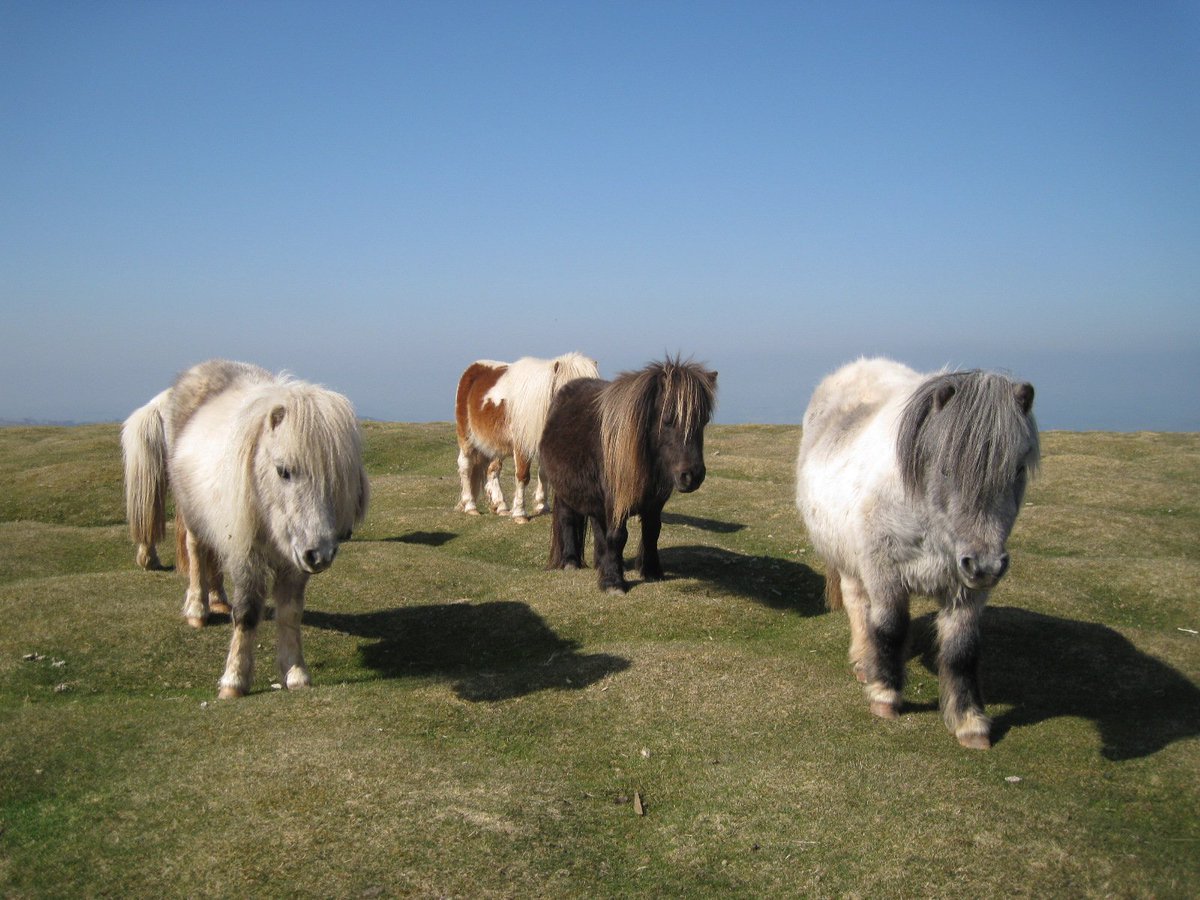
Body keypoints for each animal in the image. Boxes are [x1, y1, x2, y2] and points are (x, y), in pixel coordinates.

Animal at [122, 359, 369, 698]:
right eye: (283, 471)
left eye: (334, 476)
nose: (320, 554)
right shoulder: (246, 555)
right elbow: (248, 612)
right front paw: (234, 681)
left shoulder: (293, 560)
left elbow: (290, 613)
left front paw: (296, 673)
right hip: (194, 514)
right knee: (197, 552)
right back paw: (198, 609)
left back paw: (217, 599)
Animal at [455, 352, 598, 523]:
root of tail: (473, 368)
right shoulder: (522, 445)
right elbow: (523, 476)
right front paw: (520, 514)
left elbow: (544, 474)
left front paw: (542, 506)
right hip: (467, 438)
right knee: (465, 466)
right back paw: (470, 506)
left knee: (493, 469)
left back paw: (501, 506)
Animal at [540, 356, 718, 594]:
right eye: (668, 419)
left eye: (704, 420)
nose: (692, 476)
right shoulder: (616, 501)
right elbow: (617, 536)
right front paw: (613, 582)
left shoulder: (654, 502)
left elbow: (652, 531)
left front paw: (652, 571)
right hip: (566, 490)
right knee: (567, 518)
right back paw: (571, 561)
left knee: (597, 525)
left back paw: (601, 562)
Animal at [795, 357, 1038, 749]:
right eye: (946, 468)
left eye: (1017, 468)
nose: (985, 566)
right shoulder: (885, 573)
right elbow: (890, 628)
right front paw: (885, 695)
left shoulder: (966, 591)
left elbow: (961, 651)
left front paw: (970, 723)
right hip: (849, 560)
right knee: (858, 606)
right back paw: (864, 660)